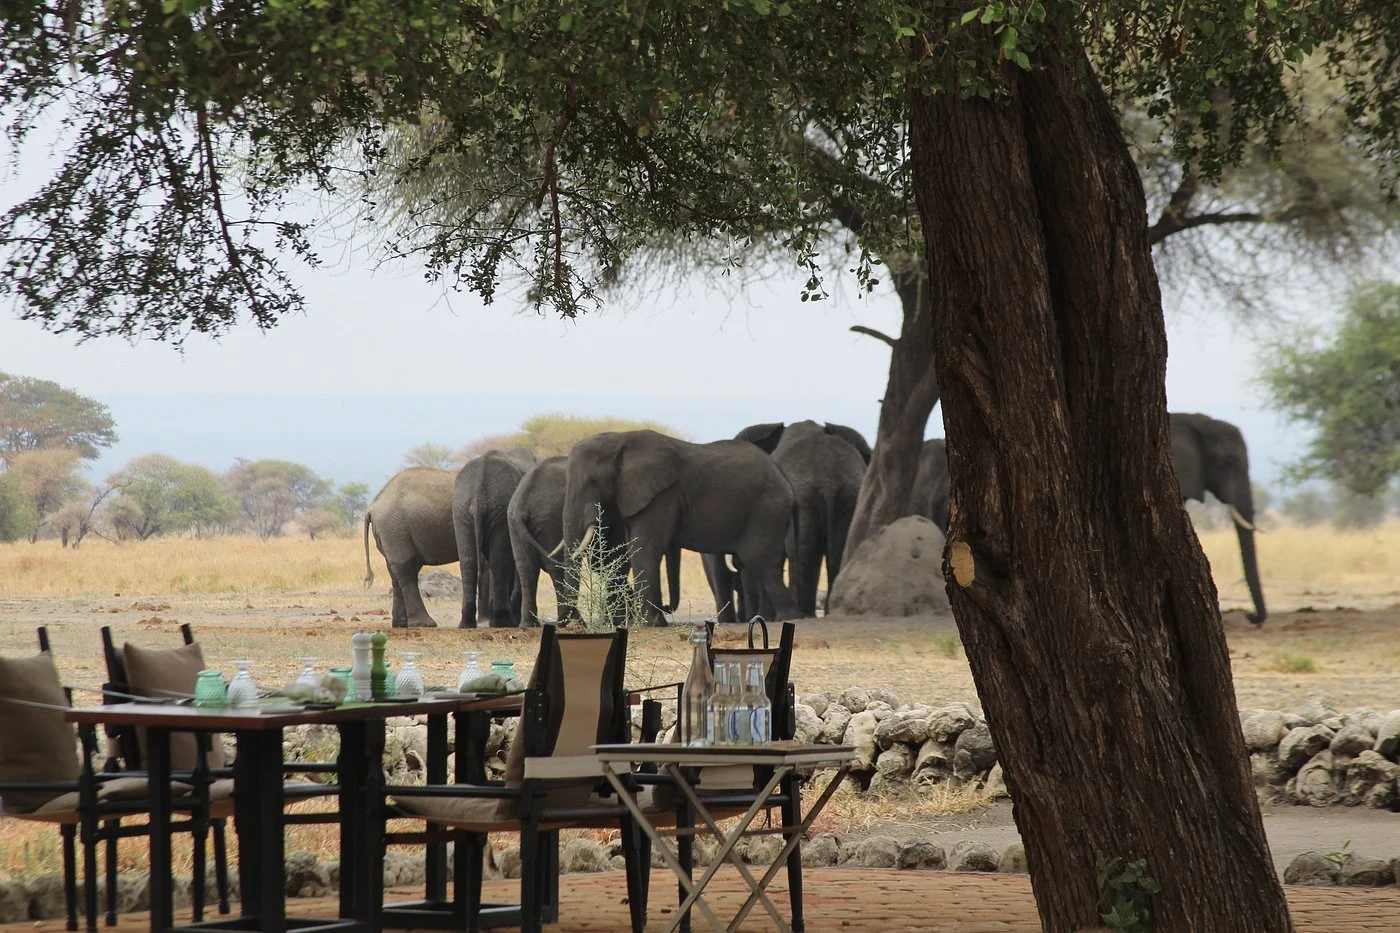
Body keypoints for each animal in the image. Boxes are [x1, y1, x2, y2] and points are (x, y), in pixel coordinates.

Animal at [362, 467, 457, 628]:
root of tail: (372, 506)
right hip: (395, 529)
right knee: (406, 568)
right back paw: (424, 623)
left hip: (392, 531)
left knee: (397, 570)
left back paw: (400, 623)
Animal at [453, 447, 538, 628]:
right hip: (500, 506)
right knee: (499, 560)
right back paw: (503, 621)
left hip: (461, 508)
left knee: (469, 561)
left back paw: (467, 623)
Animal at [509, 456, 683, 626]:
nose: (666, 606)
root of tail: (522, 502)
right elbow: (615, 559)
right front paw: (619, 619)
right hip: (550, 520)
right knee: (555, 569)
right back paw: (576, 623)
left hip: (516, 526)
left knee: (527, 570)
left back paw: (530, 625)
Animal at [561, 430, 799, 626]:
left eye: (593, 481)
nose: (666, 606)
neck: (619, 439)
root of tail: (785, 479)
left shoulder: (662, 496)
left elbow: (645, 548)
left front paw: (649, 623)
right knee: (754, 563)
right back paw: (769, 617)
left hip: (767, 510)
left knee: (759, 560)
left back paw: (787, 617)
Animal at [707, 421, 869, 621]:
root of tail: (828, 479)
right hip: (849, 494)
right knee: (834, 552)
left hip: (805, 495)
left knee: (802, 552)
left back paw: (803, 615)